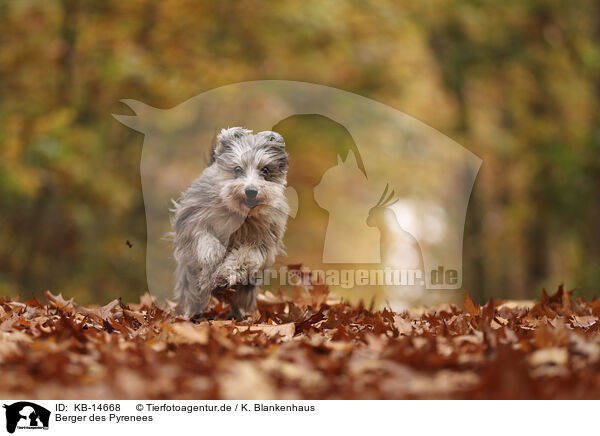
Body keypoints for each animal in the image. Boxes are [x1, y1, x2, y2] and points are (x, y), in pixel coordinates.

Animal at [170, 127, 290, 318]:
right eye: (237, 169)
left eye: (265, 170)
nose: (251, 191)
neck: (240, 214)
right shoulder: (193, 219)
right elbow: (203, 236)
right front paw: (214, 254)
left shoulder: (262, 240)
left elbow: (244, 256)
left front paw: (225, 274)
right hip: (190, 279)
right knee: (193, 295)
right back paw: (191, 315)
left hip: (247, 289)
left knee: (238, 300)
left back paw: (237, 315)